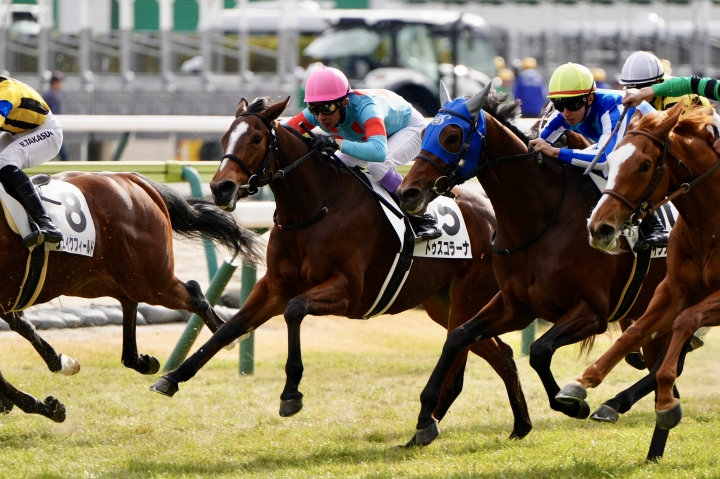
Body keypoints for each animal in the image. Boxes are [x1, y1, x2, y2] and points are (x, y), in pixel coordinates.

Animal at [0, 172, 260, 421]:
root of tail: (132, 179)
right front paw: (42, 404)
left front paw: (43, 405)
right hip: (97, 279)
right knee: (129, 302)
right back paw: (137, 360)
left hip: (150, 281)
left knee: (193, 293)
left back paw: (227, 335)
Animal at [149, 96, 533, 440]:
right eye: (225, 138)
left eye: (256, 138)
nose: (221, 187)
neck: (312, 208)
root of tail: (492, 214)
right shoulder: (273, 287)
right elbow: (230, 328)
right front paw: (173, 377)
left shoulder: (350, 291)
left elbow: (295, 310)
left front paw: (291, 392)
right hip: (442, 303)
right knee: (500, 353)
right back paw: (517, 425)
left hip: (467, 296)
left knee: (465, 349)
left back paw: (430, 423)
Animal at [396, 85, 671, 445]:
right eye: (425, 132)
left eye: (452, 136)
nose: (407, 192)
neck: (541, 220)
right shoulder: (516, 306)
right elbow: (458, 336)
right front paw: (424, 418)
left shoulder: (592, 311)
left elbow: (540, 350)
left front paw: (572, 403)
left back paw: (615, 403)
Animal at [557, 103, 720, 432]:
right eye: (611, 161)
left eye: (644, 165)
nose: (599, 228)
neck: (709, 223)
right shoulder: (674, 289)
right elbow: (635, 332)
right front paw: (581, 383)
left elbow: (686, 320)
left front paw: (666, 400)